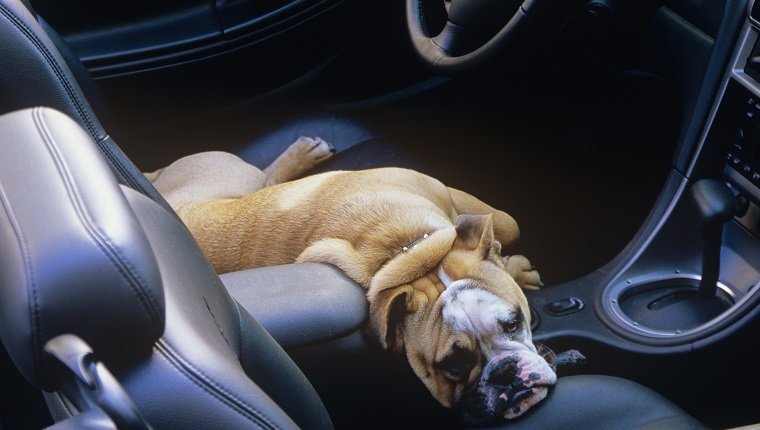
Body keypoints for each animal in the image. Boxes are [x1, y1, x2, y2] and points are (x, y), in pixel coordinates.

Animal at [145, 137, 556, 424]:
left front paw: (509, 262)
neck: (409, 250)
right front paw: (517, 266)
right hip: (231, 171)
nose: (505, 374)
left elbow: (507, 224)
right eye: (452, 367)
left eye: (513, 323)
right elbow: (509, 225)